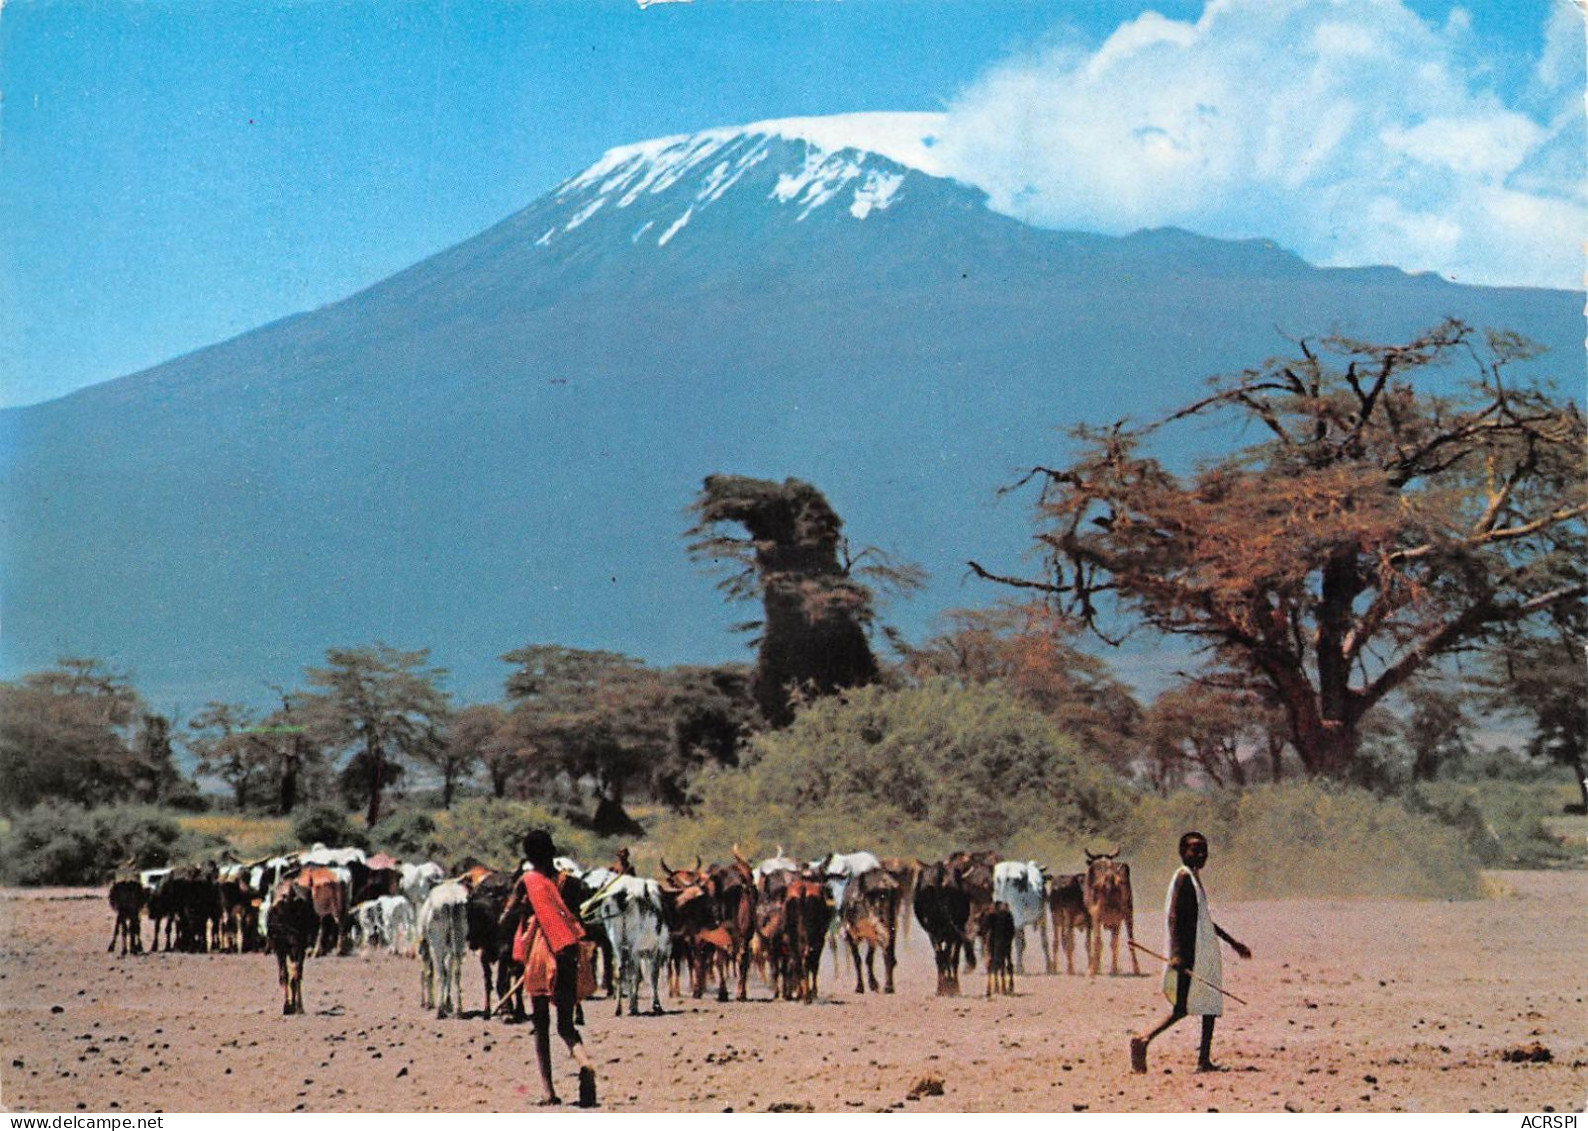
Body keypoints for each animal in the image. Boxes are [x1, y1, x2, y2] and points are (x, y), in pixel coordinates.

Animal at [416, 876, 463, 1022]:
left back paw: (439, 1011)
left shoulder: (425, 946)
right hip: (459, 942)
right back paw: (459, 1009)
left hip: (436, 944)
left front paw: (428, 1003)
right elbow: (449, 971)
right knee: (456, 973)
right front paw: (448, 1004)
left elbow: (428, 972)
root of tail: (451, 901)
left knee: (440, 973)